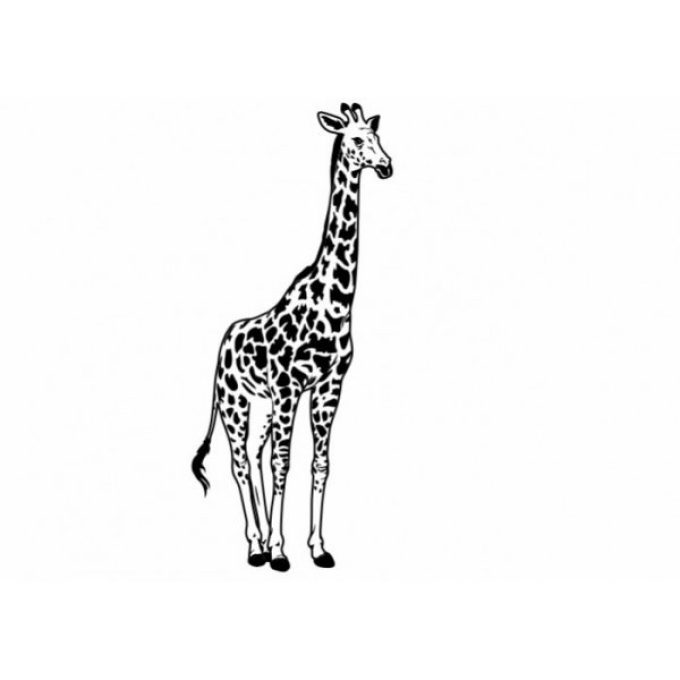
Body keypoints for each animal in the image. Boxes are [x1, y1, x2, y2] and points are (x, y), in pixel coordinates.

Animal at [192, 103, 392, 571]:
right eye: (358, 140)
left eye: (377, 137)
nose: (387, 165)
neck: (336, 300)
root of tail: (223, 343)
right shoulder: (289, 387)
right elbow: (283, 463)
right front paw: (282, 552)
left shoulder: (329, 384)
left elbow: (320, 463)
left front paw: (317, 548)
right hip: (235, 403)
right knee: (241, 461)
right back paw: (256, 546)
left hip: (263, 406)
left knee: (255, 456)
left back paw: (263, 541)